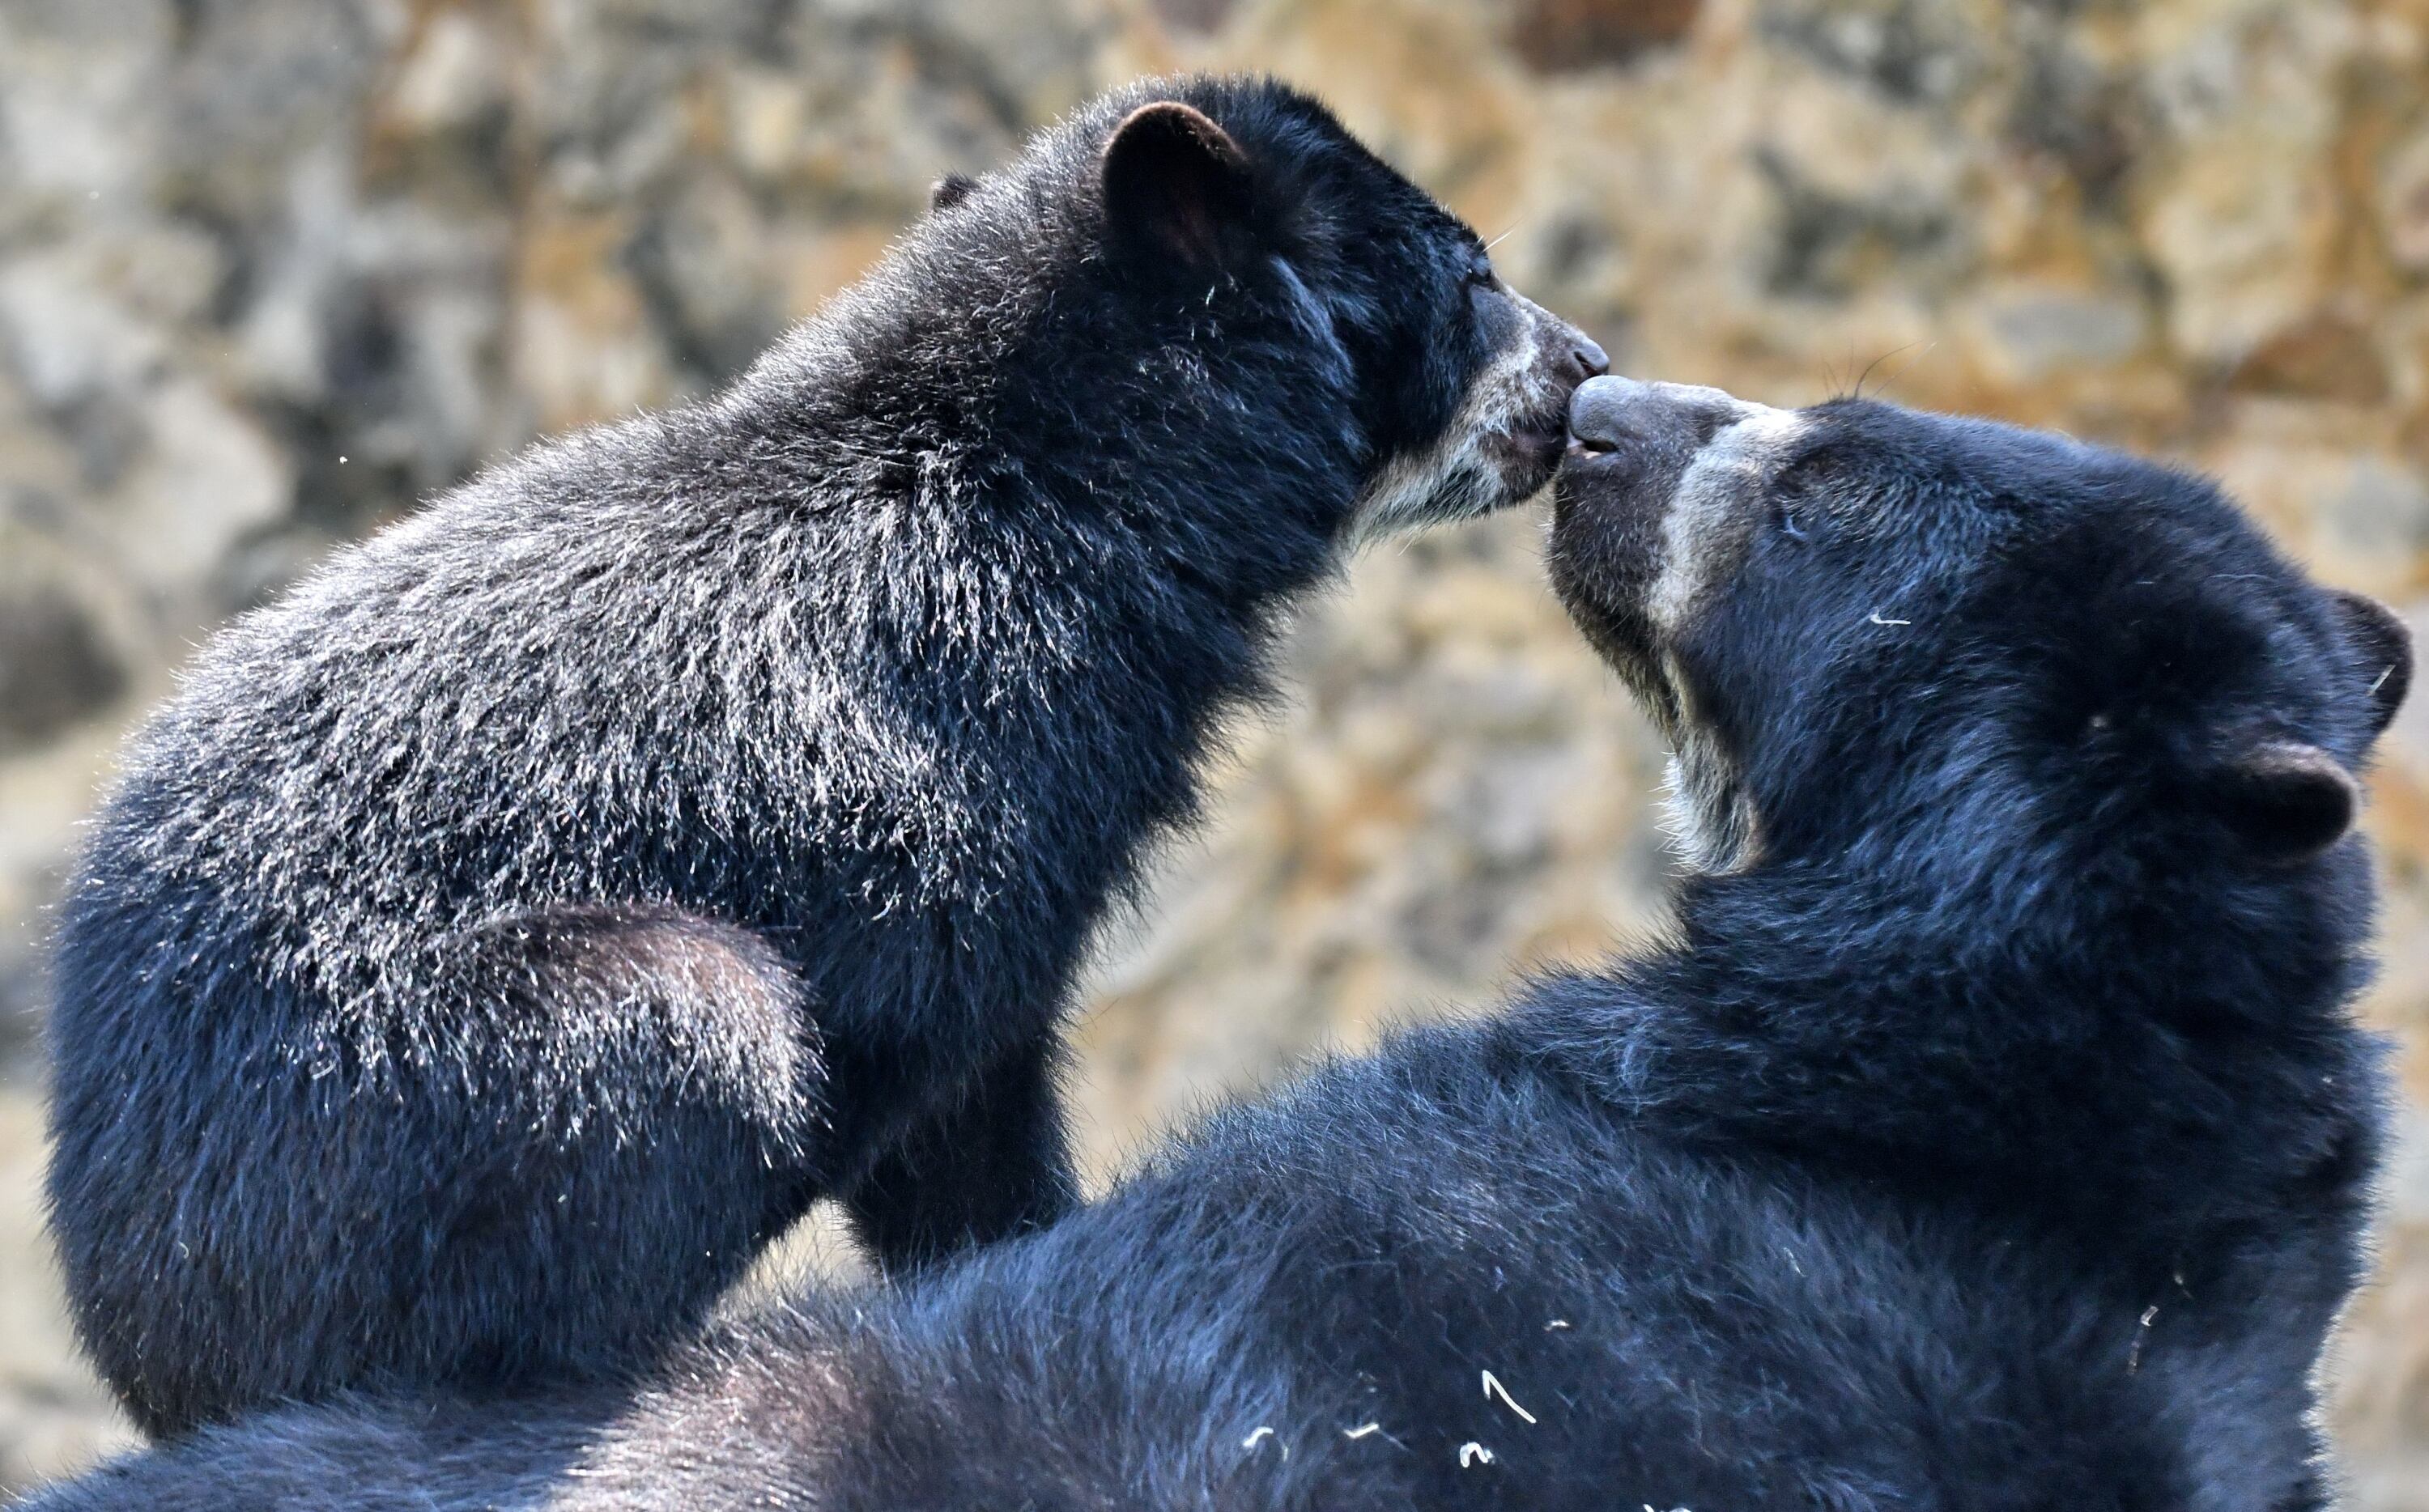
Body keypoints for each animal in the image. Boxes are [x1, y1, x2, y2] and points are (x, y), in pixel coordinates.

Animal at [42, 74, 1608, 1438]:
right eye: (1472, 279)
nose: (1589, 374)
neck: (1070, 495)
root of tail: (129, 1317)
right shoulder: (964, 782)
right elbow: (956, 1081)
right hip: (429, 1086)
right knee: (685, 1032)